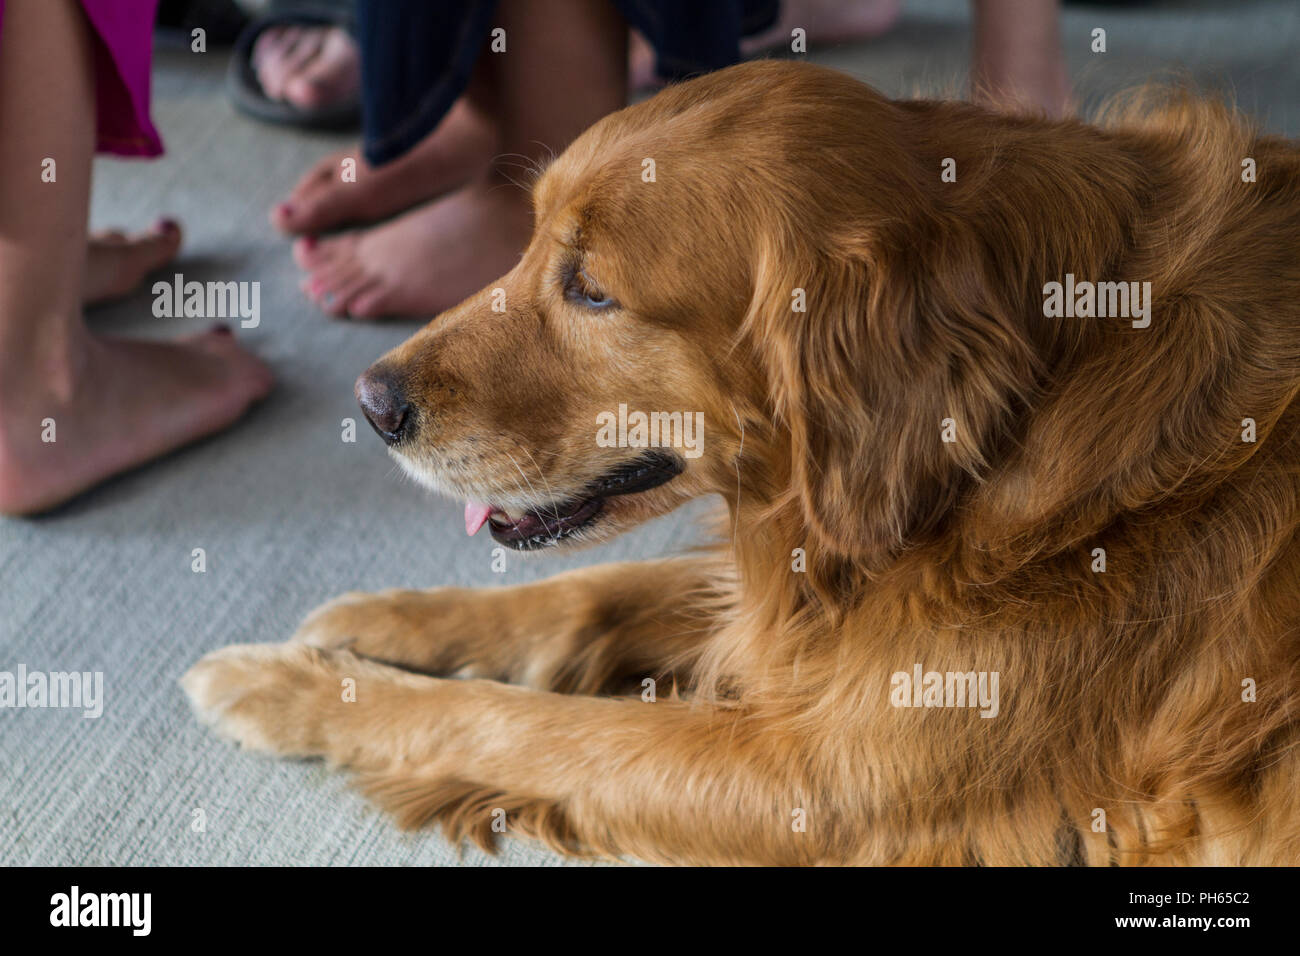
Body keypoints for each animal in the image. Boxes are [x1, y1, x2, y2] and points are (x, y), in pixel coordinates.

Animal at [180, 61, 1300, 868]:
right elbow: (595, 593)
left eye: (592, 290)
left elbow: (514, 723)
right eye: (530, 240)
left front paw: (292, 689)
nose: (369, 404)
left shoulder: (817, 784)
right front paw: (390, 621)